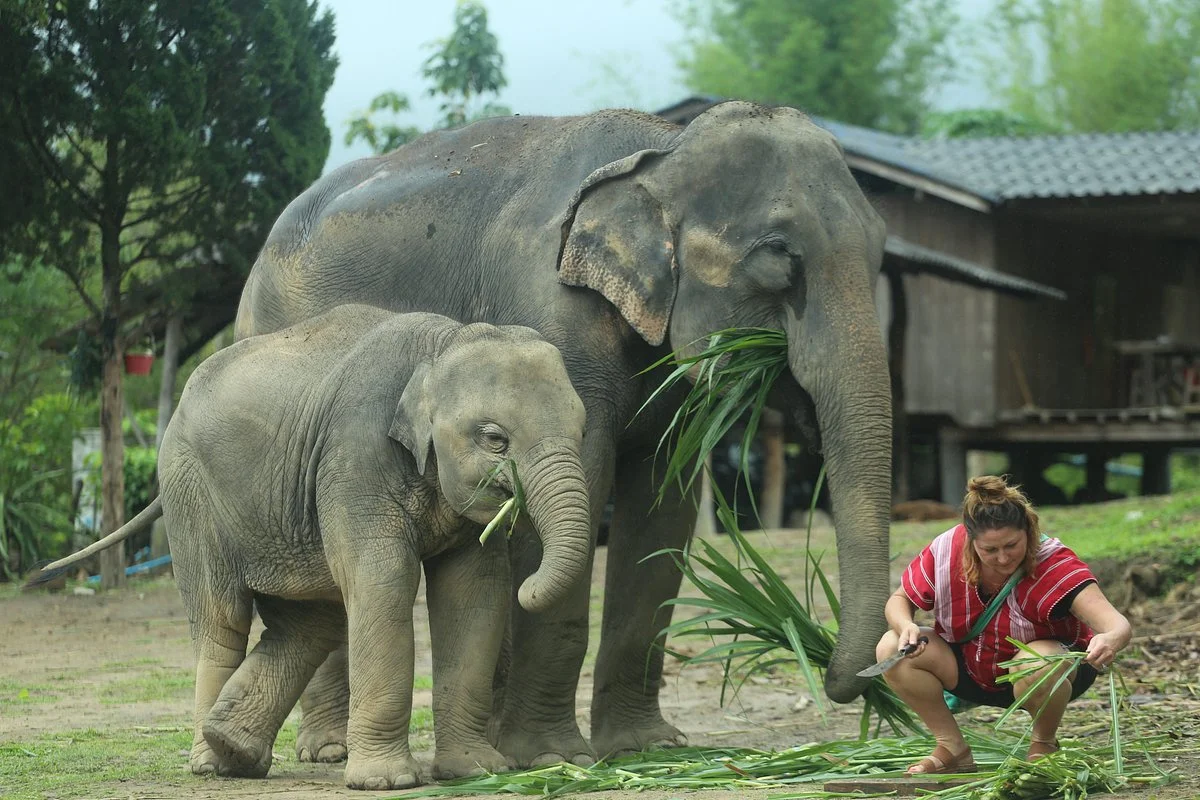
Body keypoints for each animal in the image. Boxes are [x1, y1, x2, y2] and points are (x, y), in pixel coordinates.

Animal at [40, 305, 591, 789]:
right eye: (495, 439)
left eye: (583, 428)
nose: (531, 584)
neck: (442, 343)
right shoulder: (356, 457)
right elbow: (385, 578)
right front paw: (387, 782)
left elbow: (474, 594)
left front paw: (476, 771)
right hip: (192, 498)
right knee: (223, 618)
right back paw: (210, 765)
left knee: (308, 622)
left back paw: (231, 747)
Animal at [235, 100, 893, 765]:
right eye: (780, 254)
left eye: (881, 250)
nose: (836, 673)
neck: (664, 150)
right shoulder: (550, 315)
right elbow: (572, 485)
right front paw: (552, 757)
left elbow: (663, 511)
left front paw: (645, 748)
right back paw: (329, 751)